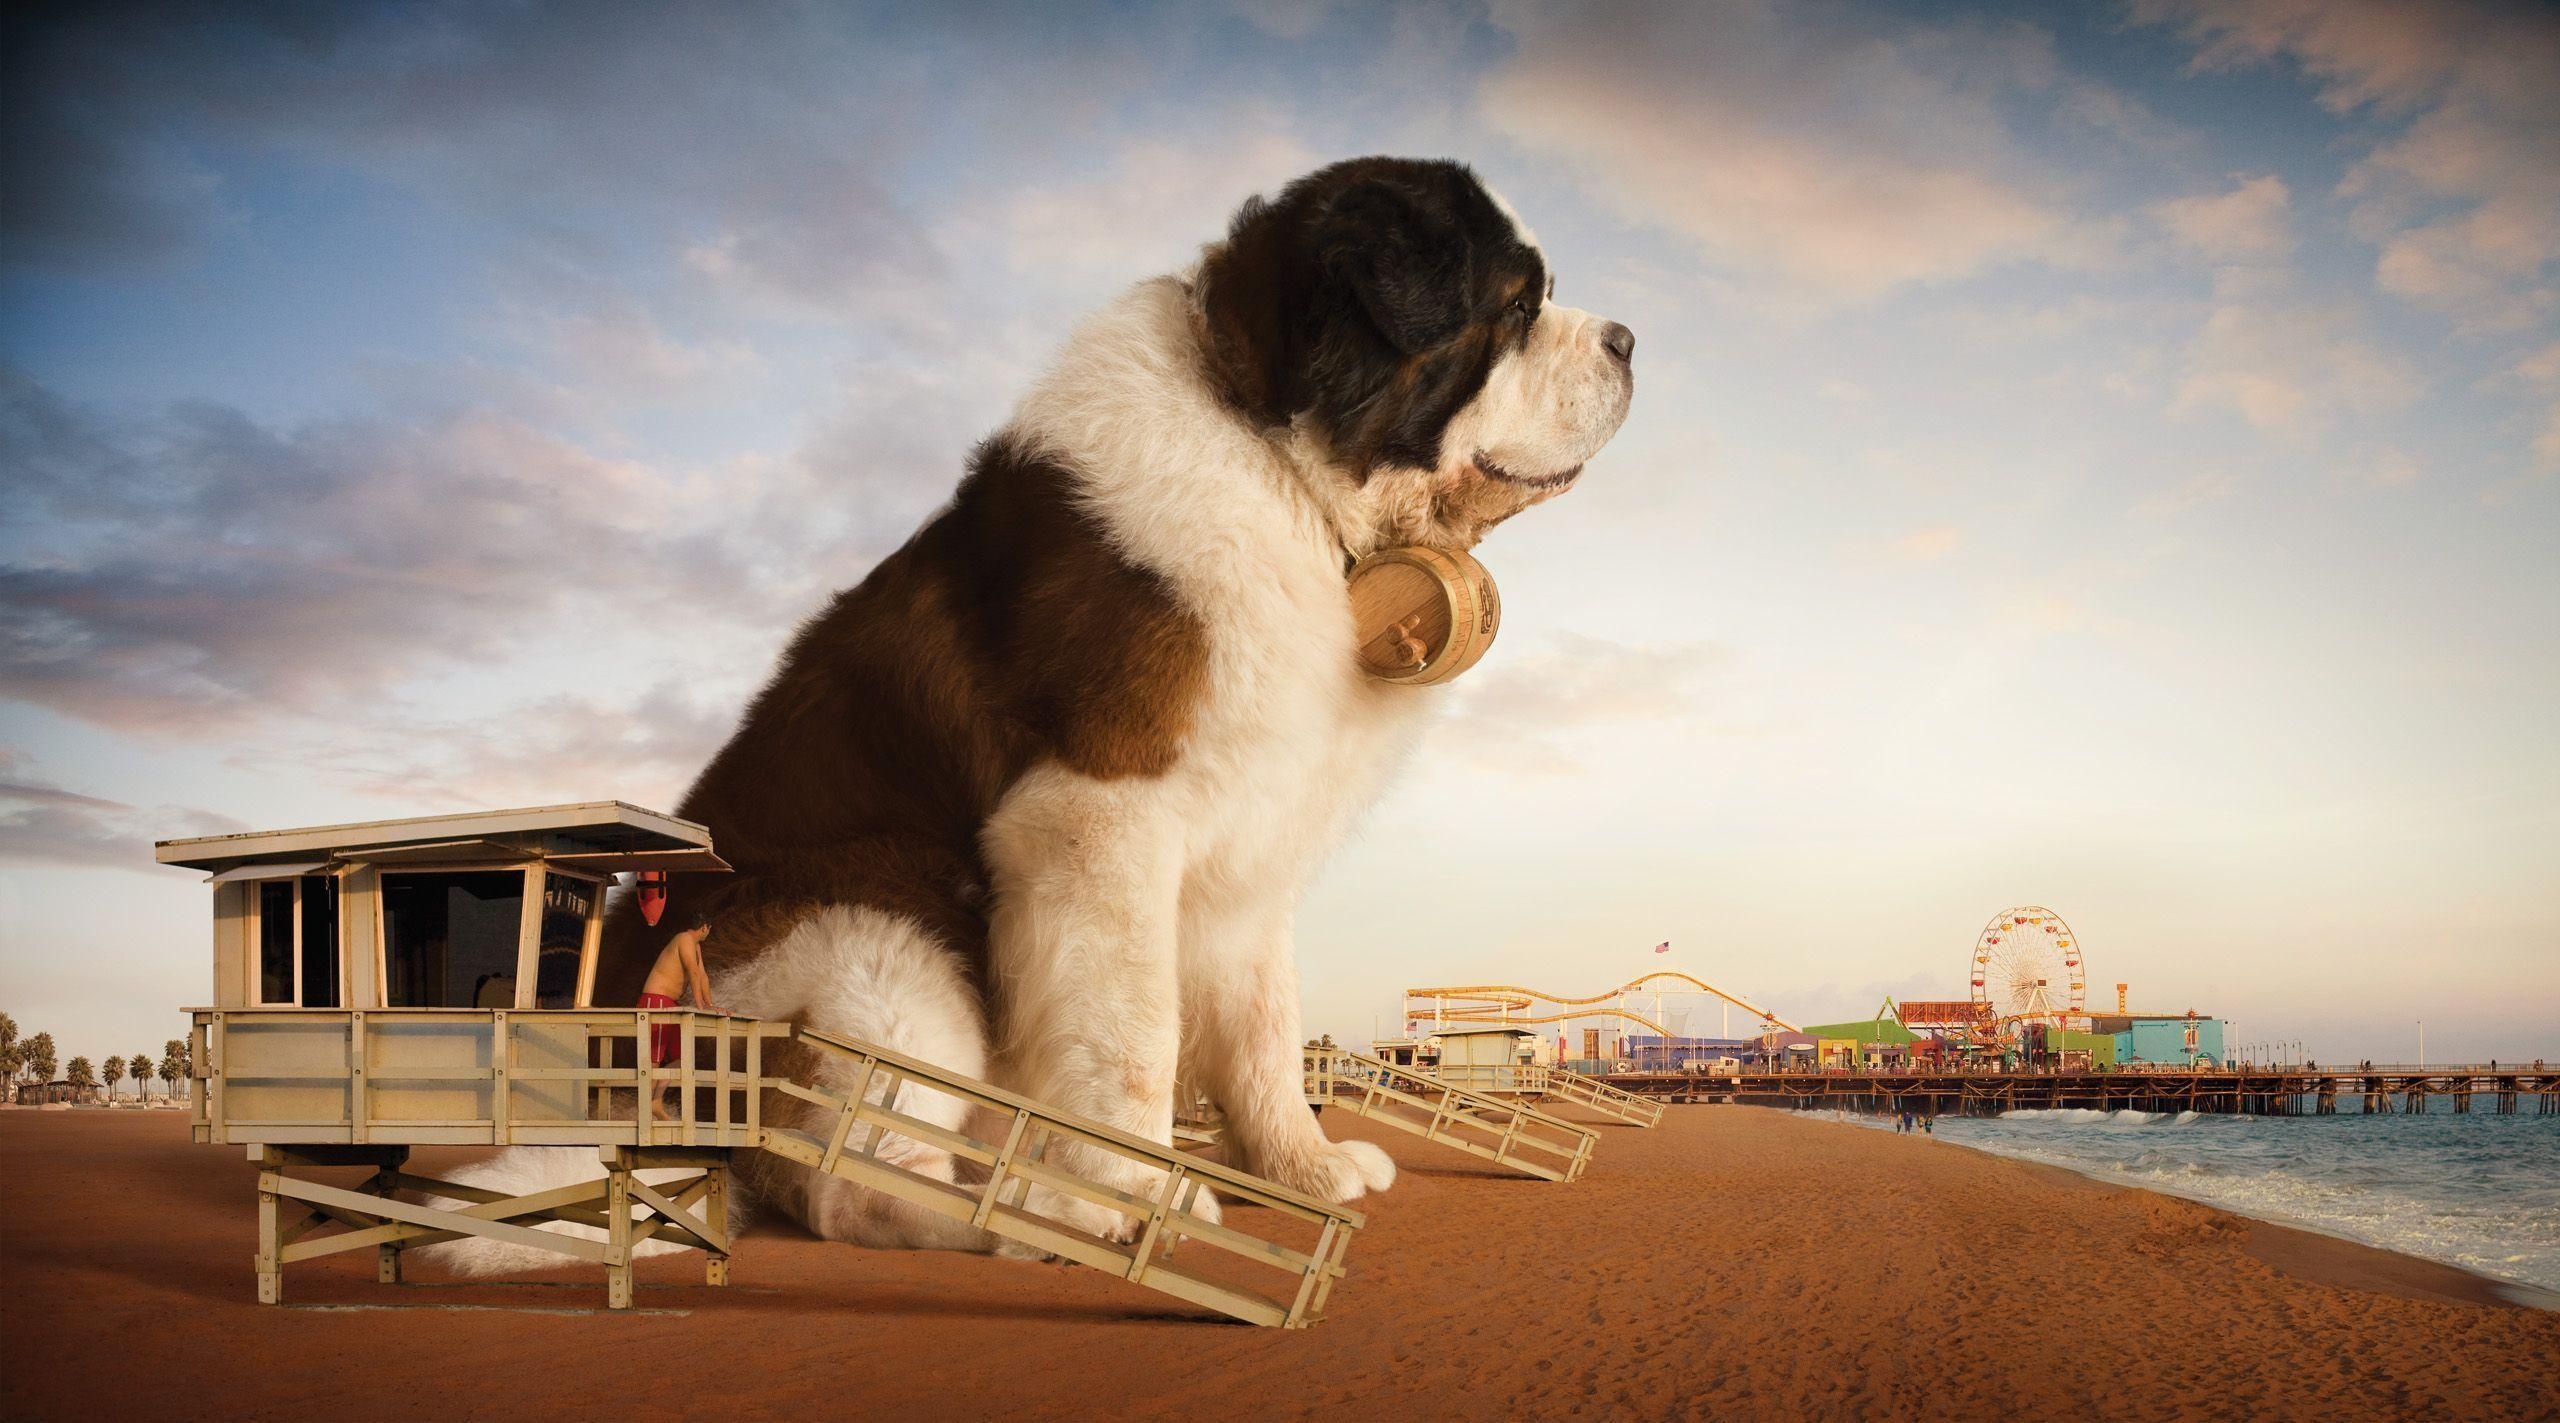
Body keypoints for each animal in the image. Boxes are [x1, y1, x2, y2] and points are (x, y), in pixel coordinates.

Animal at [430, 158, 1628, 1269]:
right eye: (1517, 308)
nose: (1626, 339)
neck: (1274, 460)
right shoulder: (1100, 819)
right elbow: (1136, 1032)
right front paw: (1135, 1193)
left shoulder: (1250, 847)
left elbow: (1262, 1024)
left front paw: (1301, 1166)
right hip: (872, 917)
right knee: (854, 1179)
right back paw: (1026, 1210)